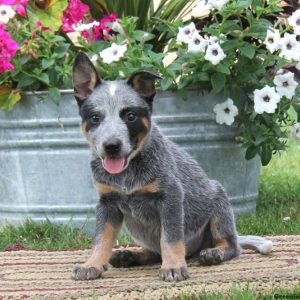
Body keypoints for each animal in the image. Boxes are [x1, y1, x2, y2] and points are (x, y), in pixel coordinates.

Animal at [71, 52, 274, 282]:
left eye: (130, 116)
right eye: (95, 117)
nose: (112, 146)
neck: (128, 174)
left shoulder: (171, 197)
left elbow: (170, 238)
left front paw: (174, 267)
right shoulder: (107, 202)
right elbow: (101, 238)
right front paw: (92, 264)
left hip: (219, 200)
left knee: (231, 245)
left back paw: (214, 253)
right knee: (154, 252)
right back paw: (129, 255)